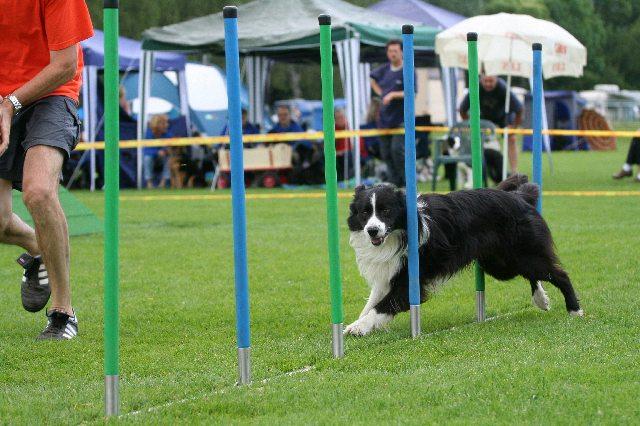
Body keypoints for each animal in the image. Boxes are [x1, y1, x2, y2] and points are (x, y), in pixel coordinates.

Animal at [345, 174, 582, 336]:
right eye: (365, 212)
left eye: (386, 211)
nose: (372, 230)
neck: (399, 233)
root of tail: (518, 196)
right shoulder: (389, 272)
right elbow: (372, 302)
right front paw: (356, 325)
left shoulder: (410, 281)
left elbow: (382, 306)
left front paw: (358, 327)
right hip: (500, 264)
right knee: (535, 274)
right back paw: (541, 299)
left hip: (522, 254)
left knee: (559, 274)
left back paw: (575, 310)